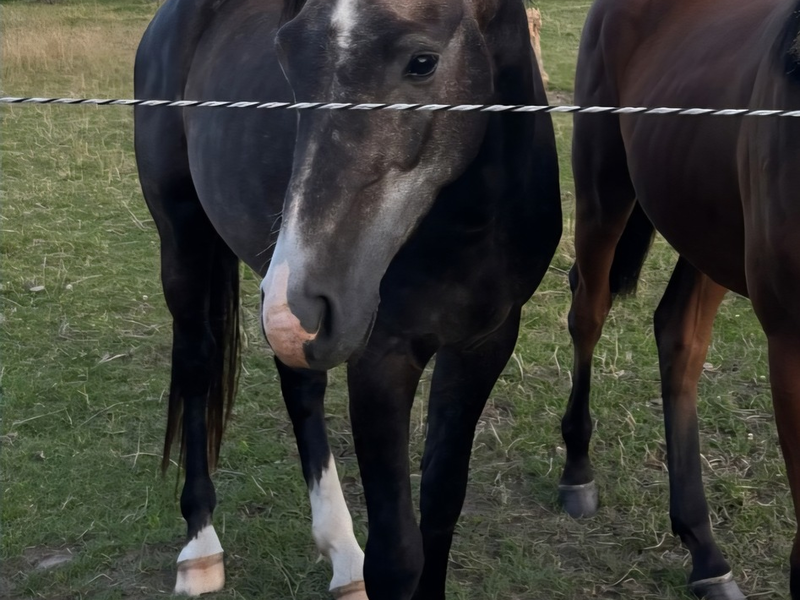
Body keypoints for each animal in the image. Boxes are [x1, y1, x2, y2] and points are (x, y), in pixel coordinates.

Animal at [133, 0, 561, 597]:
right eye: (285, 58)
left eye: (422, 62)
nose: (303, 297)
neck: (470, 225)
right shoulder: (381, 357)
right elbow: (397, 554)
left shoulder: (484, 344)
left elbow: (442, 508)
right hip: (187, 241)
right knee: (196, 367)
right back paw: (199, 546)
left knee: (299, 388)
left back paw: (339, 550)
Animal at [560, 0, 800, 597]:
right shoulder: (790, 342)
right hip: (603, 189)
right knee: (588, 312)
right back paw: (577, 470)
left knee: (679, 339)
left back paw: (704, 551)